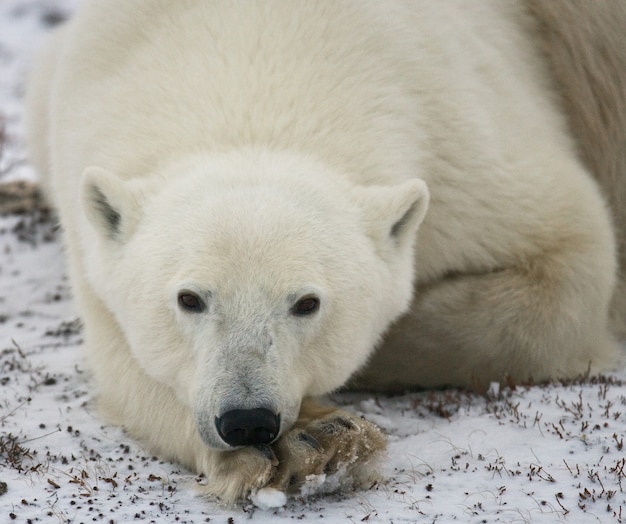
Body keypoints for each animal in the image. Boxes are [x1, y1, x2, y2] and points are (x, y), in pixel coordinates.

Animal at [26, 0, 620, 504]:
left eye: (306, 302)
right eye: (189, 299)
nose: (246, 419)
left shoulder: (465, 145)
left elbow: (572, 263)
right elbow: (125, 369)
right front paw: (311, 442)